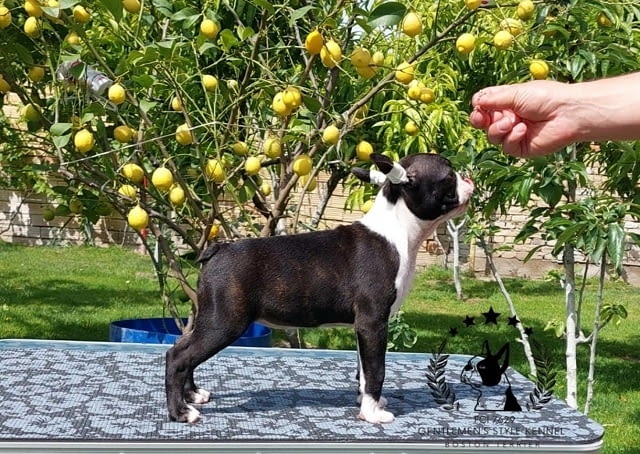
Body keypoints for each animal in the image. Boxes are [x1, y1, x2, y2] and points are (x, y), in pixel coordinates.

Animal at [165, 153, 476, 426]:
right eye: (449, 176)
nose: (468, 178)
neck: (397, 228)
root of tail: (219, 249)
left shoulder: (363, 327)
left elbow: (364, 370)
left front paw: (367, 403)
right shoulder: (374, 322)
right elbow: (376, 370)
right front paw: (373, 414)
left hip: (210, 318)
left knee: (181, 347)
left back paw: (193, 395)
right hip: (225, 322)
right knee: (179, 357)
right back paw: (181, 412)